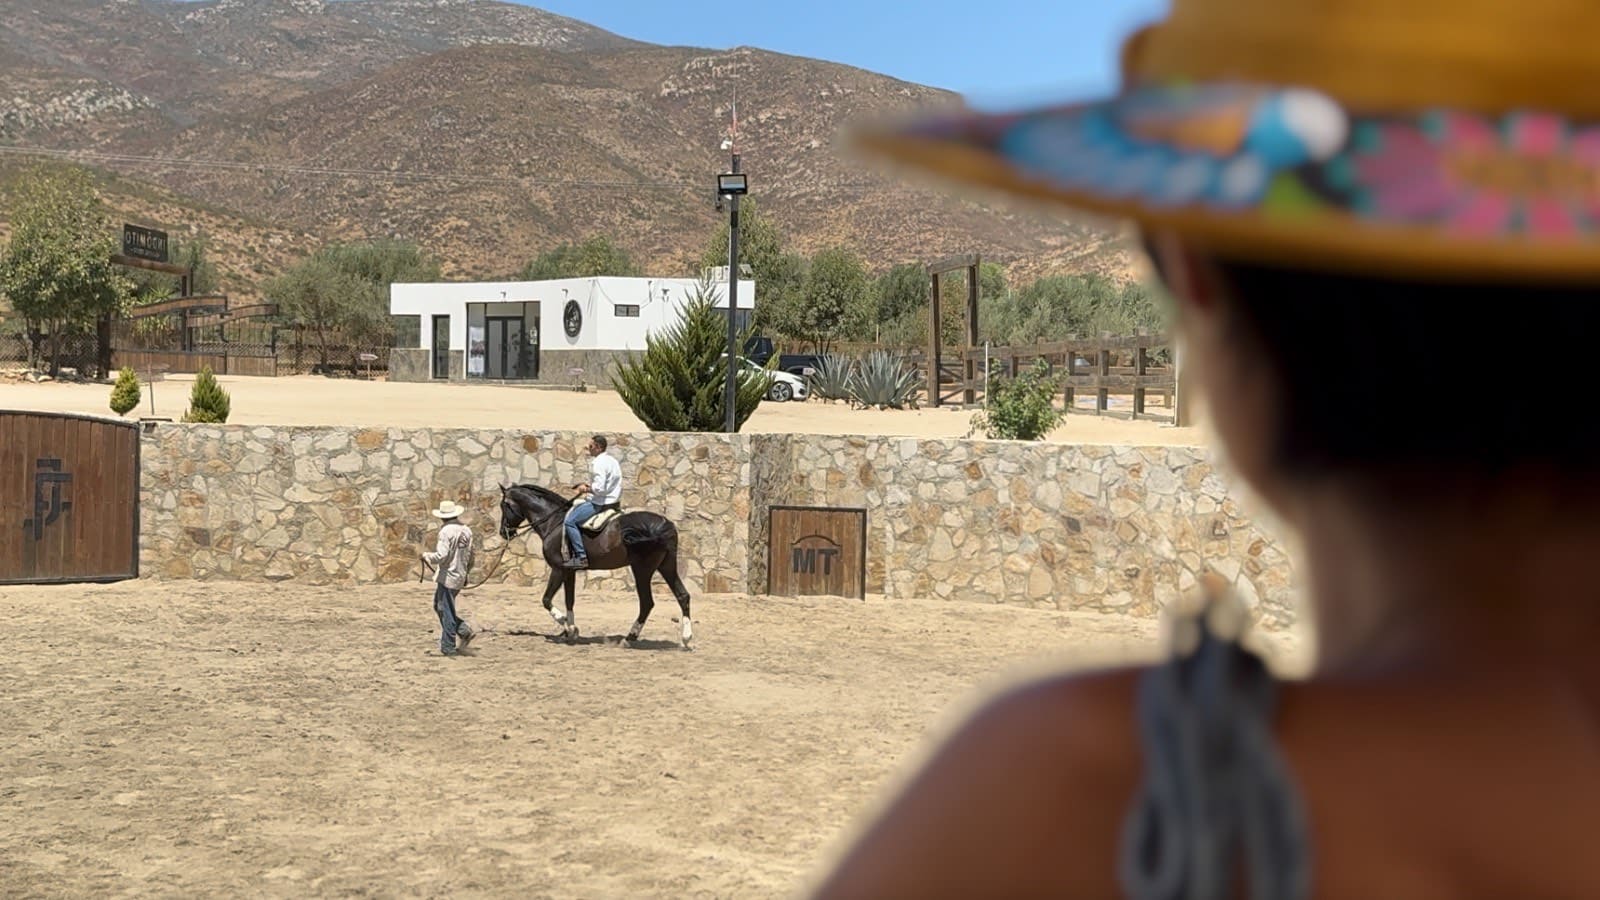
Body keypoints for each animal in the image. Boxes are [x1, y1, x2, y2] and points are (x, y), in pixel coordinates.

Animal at [492, 483, 694, 643]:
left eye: (503, 505)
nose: (503, 532)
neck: (554, 522)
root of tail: (665, 524)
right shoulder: (570, 571)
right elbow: (569, 600)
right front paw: (571, 630)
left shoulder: (558, 569)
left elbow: (546, 600)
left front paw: (566, 625)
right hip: (666, 566)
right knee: (682, 595)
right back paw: (686, 638)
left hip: (642, 570)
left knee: (647, 603)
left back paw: (630, 637)